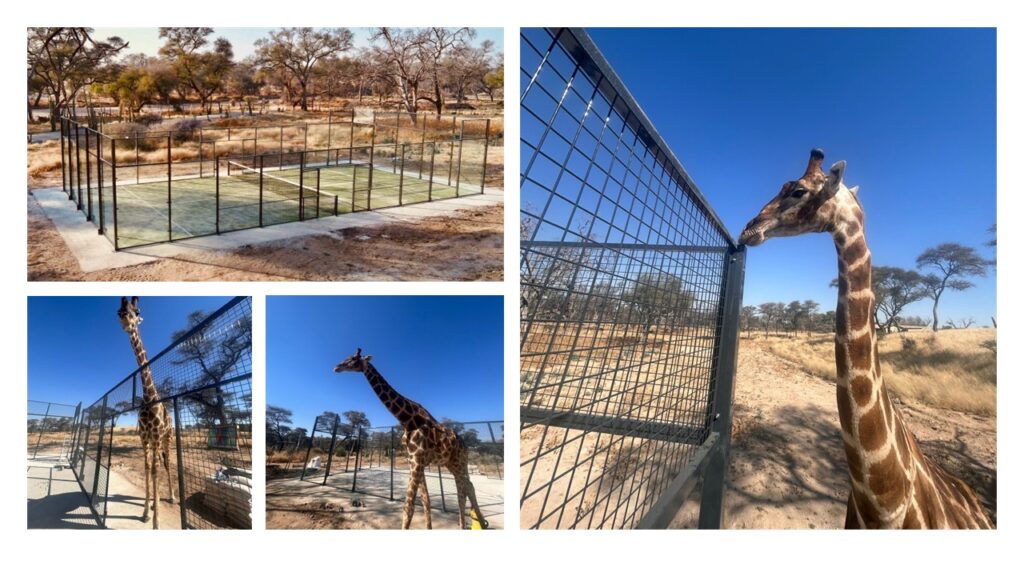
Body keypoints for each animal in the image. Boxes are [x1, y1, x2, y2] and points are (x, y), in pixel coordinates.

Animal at [118, 296, 176, 529]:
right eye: (118, 311)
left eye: (138, 311)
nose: (126, 319)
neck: (150, 397)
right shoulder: (144, 436)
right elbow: (146, 467)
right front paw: (145, 512)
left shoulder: (157, 435)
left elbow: (154, 469)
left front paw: (156, 522)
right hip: (153, 441)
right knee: (155, 464)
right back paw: (153, 503)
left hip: (167, 438)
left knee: (166, 463)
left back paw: (171, 497)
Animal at [333, 349, 486, 529]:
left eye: (353, 358)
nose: (336, 367)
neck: (407, 420)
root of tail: (466, 446)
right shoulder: (413, 461)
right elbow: (425, 500)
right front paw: (428, 528)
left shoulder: (417, 461)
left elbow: (409, 507)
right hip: (452, 464)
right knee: (468, 487)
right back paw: (481, 523)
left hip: (458, 462)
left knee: (462, 492)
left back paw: (465, 525)